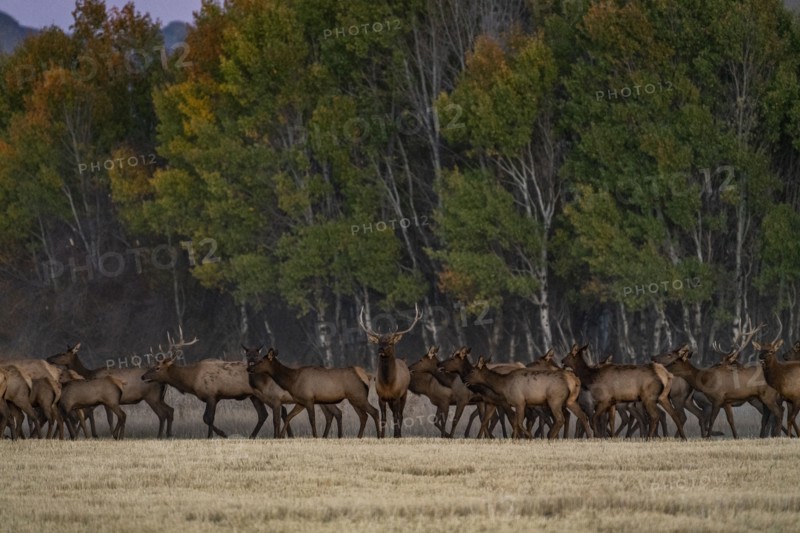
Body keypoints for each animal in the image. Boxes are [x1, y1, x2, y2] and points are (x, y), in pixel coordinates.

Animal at [247, 348, 380, 438]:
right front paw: (281, 436)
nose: (249, 368)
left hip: (358, 396)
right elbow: (289, 416)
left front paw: (315, 436)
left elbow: (312, 419)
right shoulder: (300, 401)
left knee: (374, 411)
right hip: (354, 398)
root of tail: (367, 376)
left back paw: (379, 435)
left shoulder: (308, 399)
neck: (292, 381)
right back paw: (359, 436)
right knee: (363, 416)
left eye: (260, 361)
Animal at [358, 304, 421, 438]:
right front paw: (382, 436)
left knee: (400, 415)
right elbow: (383, 418)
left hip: (404, 394)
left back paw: (399, 434)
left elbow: (396, 417)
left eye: (391, 342)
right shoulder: (381, 397)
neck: (388, 383)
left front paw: (396, 435)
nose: (380, 349)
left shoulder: (396, 396)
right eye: (379, 342)